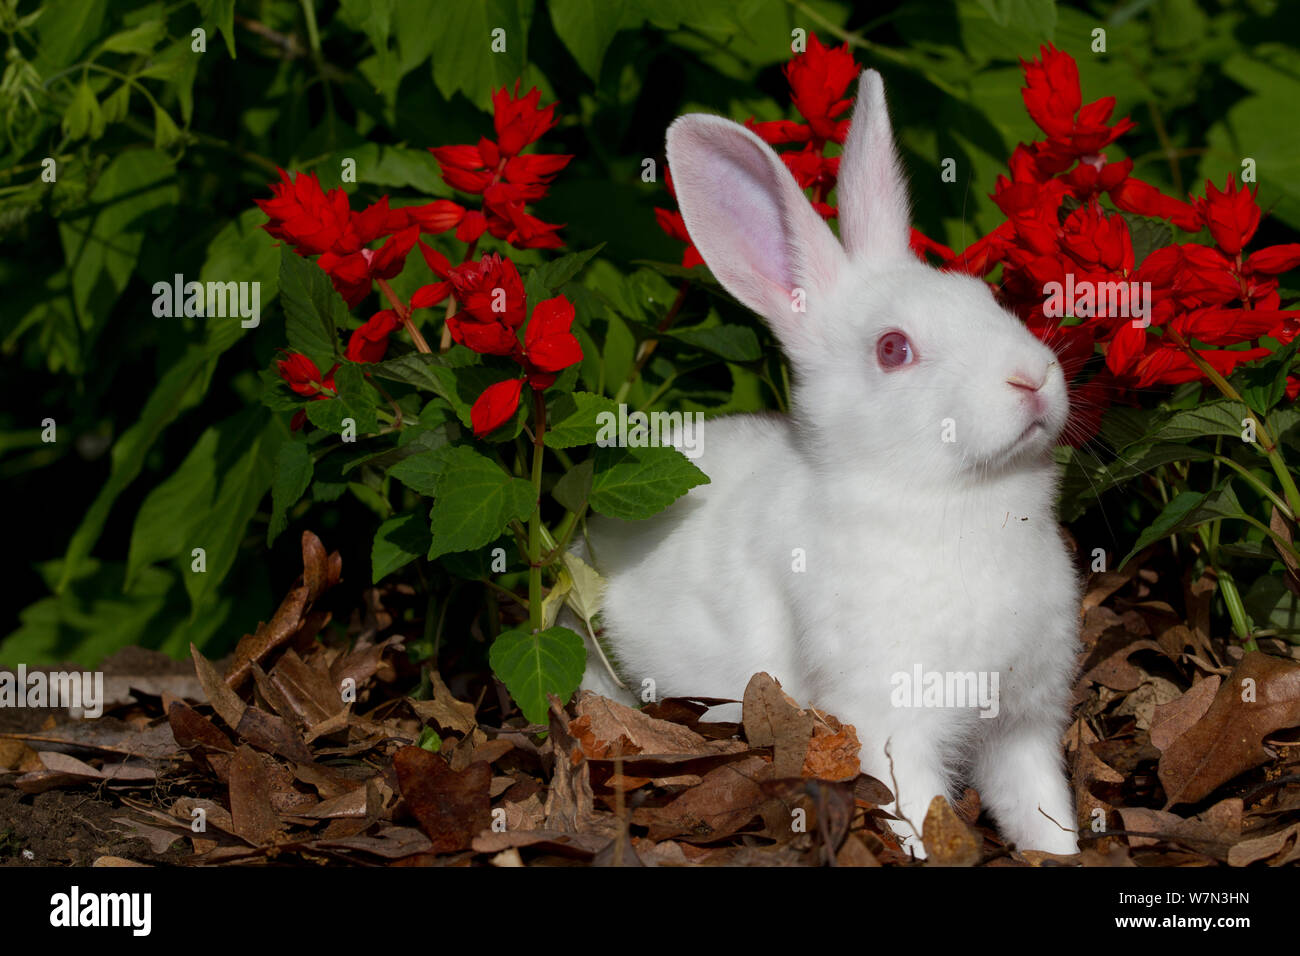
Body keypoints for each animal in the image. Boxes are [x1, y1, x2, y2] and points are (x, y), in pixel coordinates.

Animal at [575, 70, 1081, 858]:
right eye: (893, 349)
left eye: (987, 297)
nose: (1031, 378)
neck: (954, 499)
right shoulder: (892, 723)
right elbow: (919, 813)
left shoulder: (1024, 726)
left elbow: (1043, 808)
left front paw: (1061, 853)